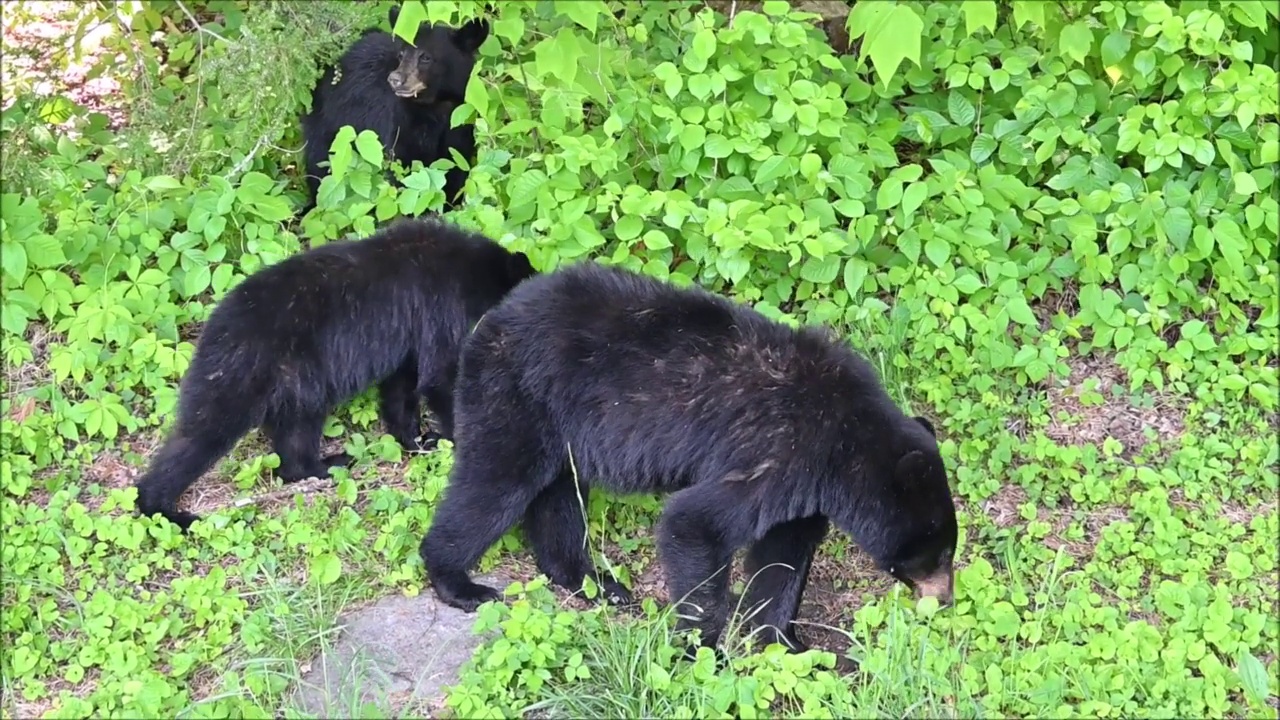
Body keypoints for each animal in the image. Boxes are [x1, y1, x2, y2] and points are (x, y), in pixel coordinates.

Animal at [137, 217, 537, 527]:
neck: (469, 268)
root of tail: (213, 330)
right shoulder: (440, 307)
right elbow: (439, 376)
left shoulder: (408, 335)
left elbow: (402, 386)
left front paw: (415, 439)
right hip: (246, 374)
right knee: (202, 434)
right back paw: (165, 508)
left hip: (294, 384)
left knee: (294, 432)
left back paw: (322, 466)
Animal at [298, 7, 488, 212]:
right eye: (401, 55)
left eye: (426, 57)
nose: (395, 79)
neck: (435, 106)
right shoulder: (400, 124)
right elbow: (403, 171)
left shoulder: (460, 125)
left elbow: (454, 170)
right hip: (328, 121)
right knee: (319, 161)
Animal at [419, 260, 962, 653]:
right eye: (938, 553)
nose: (946, 600)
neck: (845, 441)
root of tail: (495, 315)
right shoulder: (780, 453)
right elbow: (695, 524)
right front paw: (701, 649)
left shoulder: (801, 487)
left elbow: (781, 557)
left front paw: (784, 642)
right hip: (517, 396)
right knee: (495, 483)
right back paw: (458, 581)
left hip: (556, 424)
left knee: (558, 498)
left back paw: (596, 582)